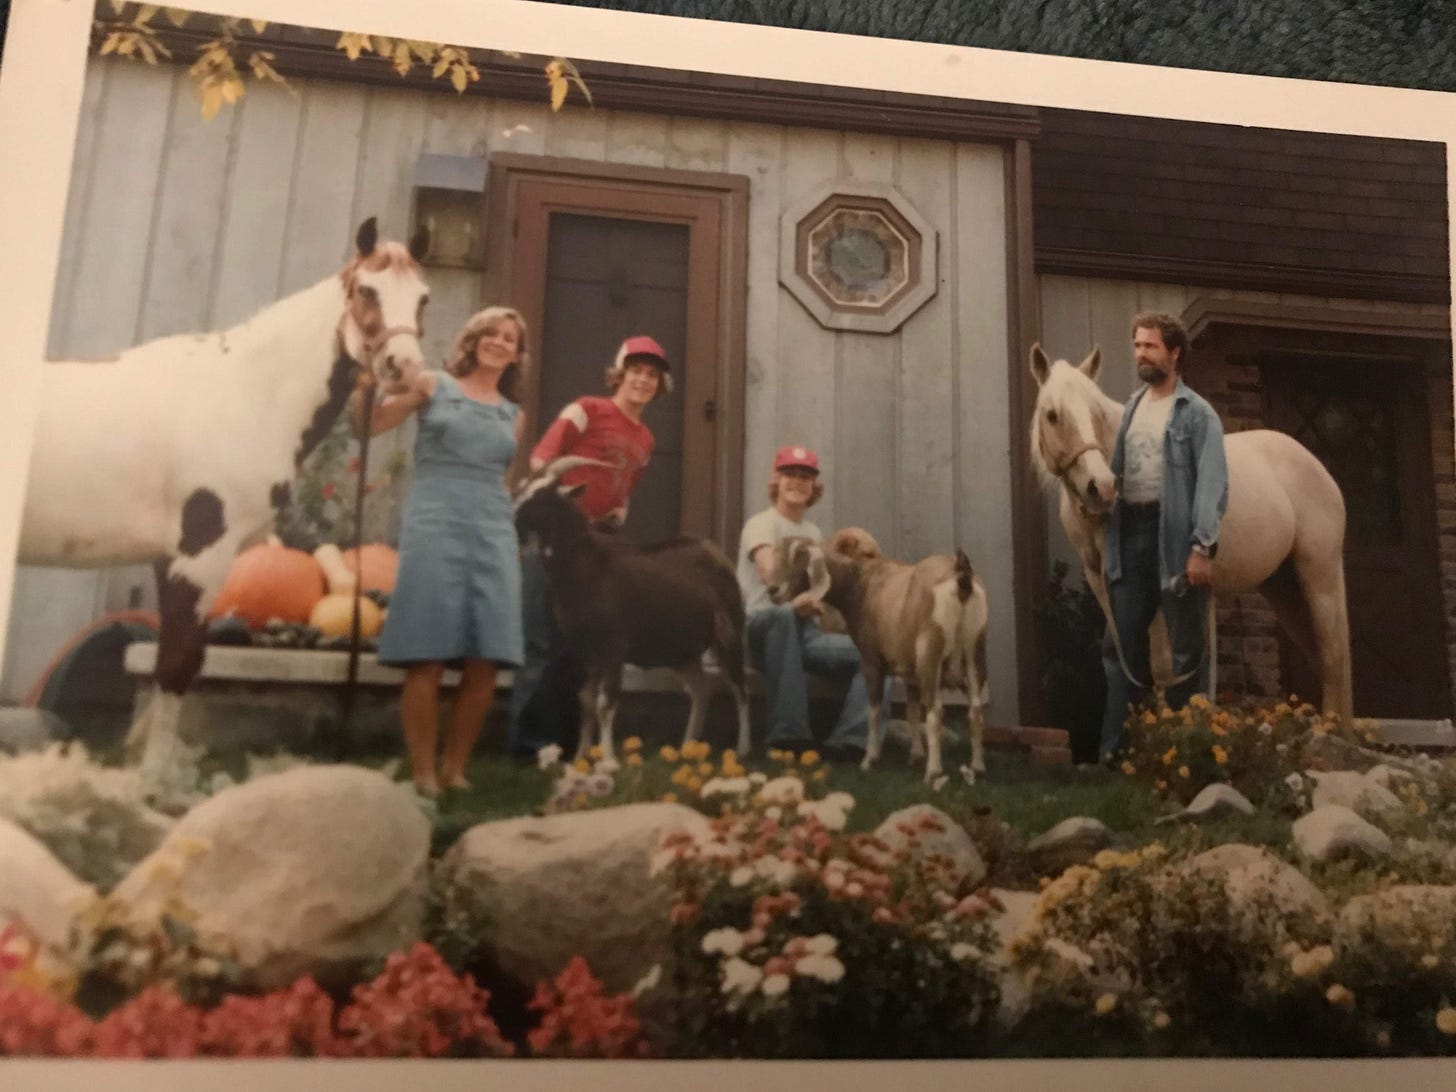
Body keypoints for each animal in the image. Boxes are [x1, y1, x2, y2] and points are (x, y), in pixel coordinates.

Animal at [17, 217, 431, 775]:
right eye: (367, 290)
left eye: (423, 298)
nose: (403, 368)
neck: (245, 394)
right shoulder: (202, 553)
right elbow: (176, 664)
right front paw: (151, 779)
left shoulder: (169, 557)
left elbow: (180, 661)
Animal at [1028, 343, 1353, 724]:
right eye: (1053, 415)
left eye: (1094, 413)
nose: (1101, 488)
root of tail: (1319, 469)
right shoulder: (1102, 581)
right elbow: (1126, 659)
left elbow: (1162, 666)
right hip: (1283, 586)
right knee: (1322, 656)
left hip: (1319, 574)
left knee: (1332, 654)